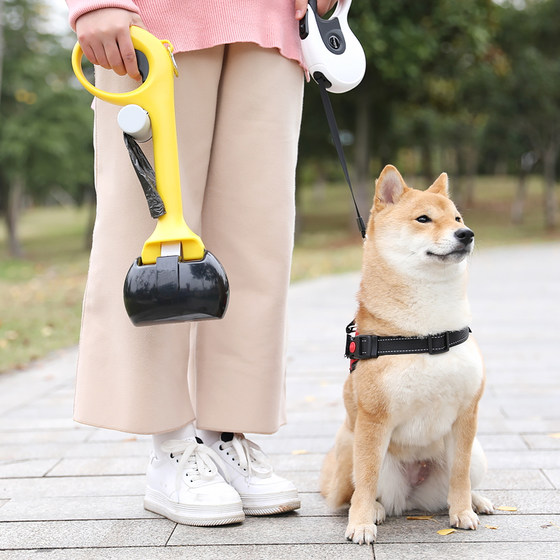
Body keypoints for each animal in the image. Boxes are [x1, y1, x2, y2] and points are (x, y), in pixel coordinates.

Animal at [322, 165, 492, 544]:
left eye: (457, 218)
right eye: (423, 219)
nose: (466, 234)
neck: (429, 335)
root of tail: (413, 498)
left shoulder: (467, 414)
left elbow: (460, 474)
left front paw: (463, 511)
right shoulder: (373, 419)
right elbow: (366, 480)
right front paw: (361, 524)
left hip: (478, 452)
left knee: (457, 481)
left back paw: (477, 500)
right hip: (349, 442)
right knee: (352, 493)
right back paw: (374, 510)